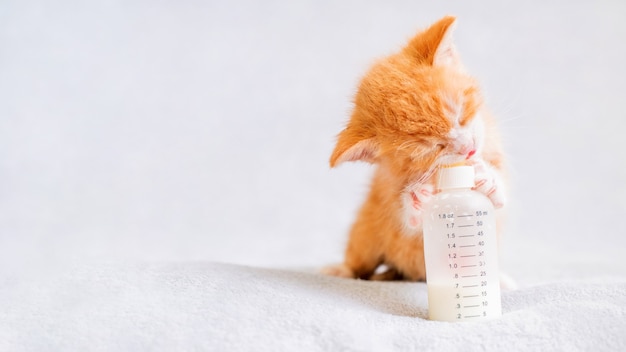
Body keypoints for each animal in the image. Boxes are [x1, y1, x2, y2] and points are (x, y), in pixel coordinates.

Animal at [324, 15, 504, 280]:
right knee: (362, 258)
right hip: (366, 229)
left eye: (460, 114)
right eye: (434, 148)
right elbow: (409, 226)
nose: (469, 150)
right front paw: (415, 198)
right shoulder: (395, 204)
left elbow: (500, 201)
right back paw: (342, 269)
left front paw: (489, 180)